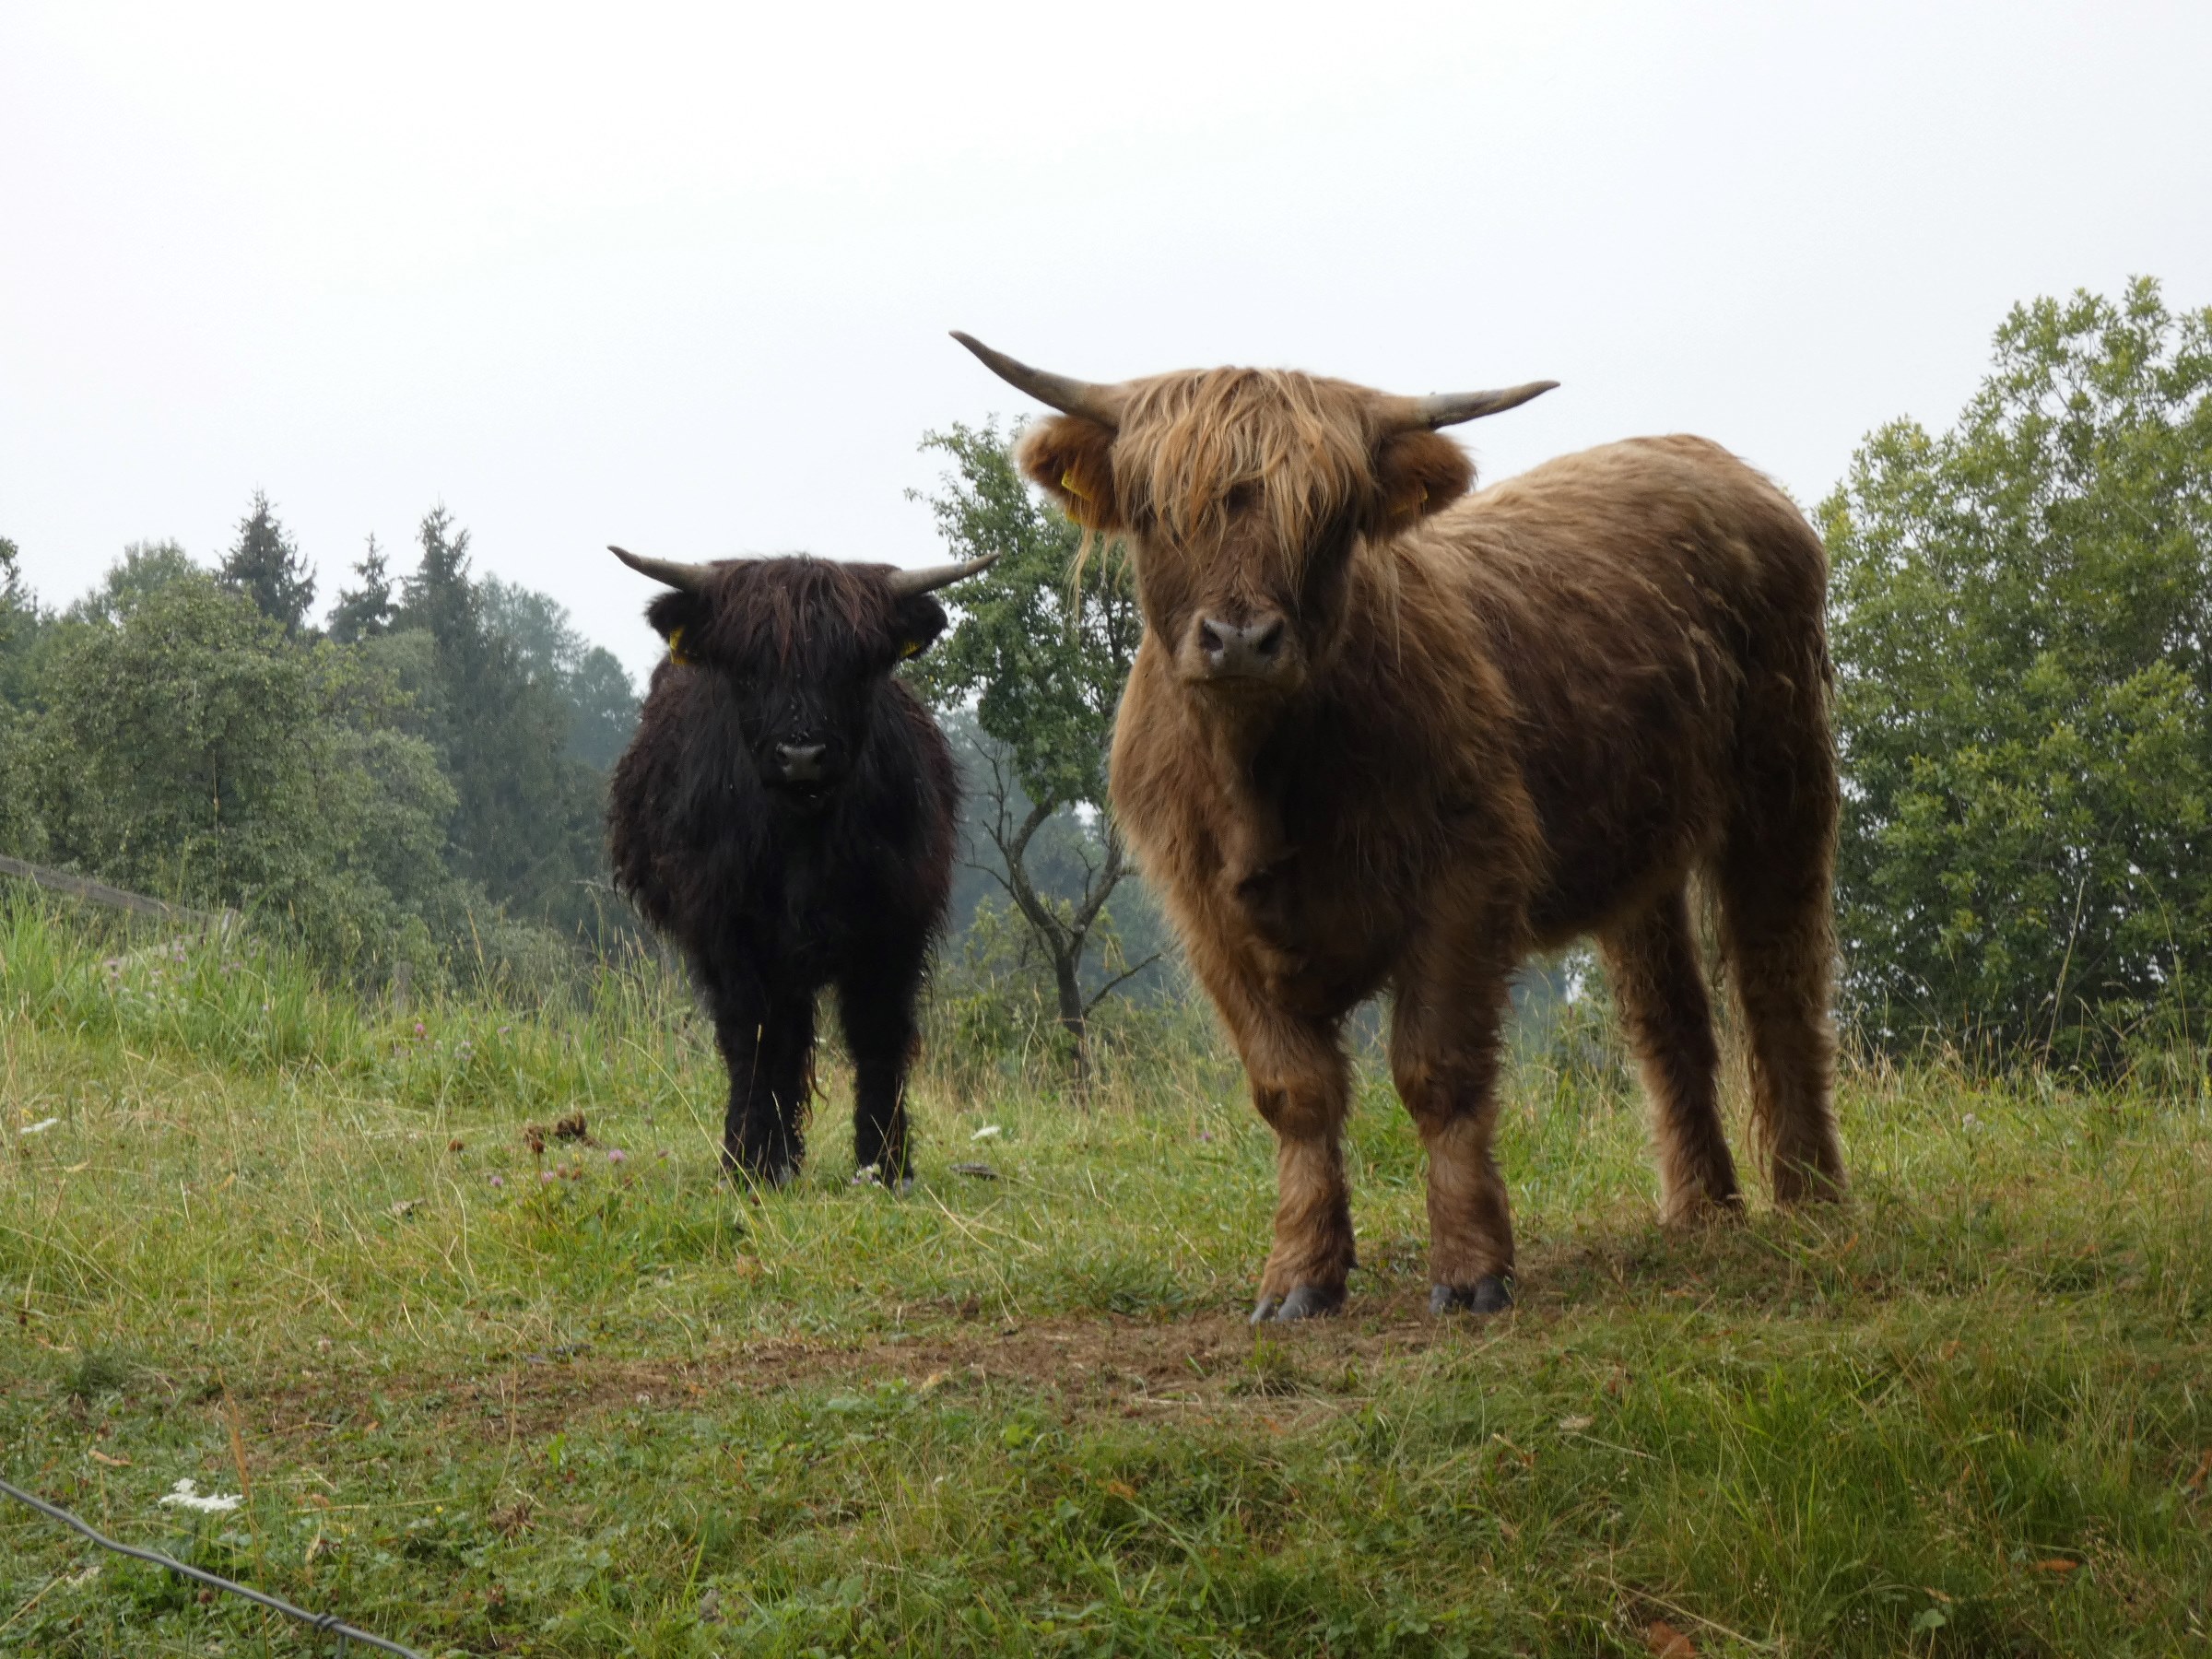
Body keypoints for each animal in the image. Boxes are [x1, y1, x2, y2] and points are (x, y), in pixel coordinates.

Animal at [601, 553, 991, 1185]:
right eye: (750, 668)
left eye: (853, 667)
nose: (801, 755)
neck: (804, 837)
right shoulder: (728, 932)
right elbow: (753, 1038)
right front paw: (747, 1161)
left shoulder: (897, 924)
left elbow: (878, 1033)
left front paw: (885, 1163)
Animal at [959, 334, 1840, 1327]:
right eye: (1159, 510)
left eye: (1330, 515)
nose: (1240, 640)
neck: (1263, 779)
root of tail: (1723, 465)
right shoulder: (1208, 919)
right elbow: (1294, 1094)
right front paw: (1298, 1277)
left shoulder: (1466, 882)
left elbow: (1436, 1072)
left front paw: (1470, 1270)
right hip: (1640, 846)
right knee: (1669, 1017)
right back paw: (1701, 1210)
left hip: (1784, 776)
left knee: (1779, 984)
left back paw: (1810, 1198)